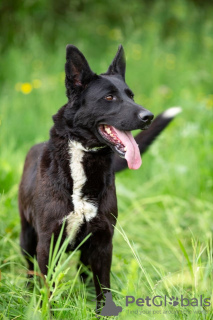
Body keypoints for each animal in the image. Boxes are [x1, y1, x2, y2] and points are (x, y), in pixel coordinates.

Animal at [19, 44, 181, 310]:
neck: (84, 160)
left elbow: (103, 287)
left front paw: (104, 312)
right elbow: (47, 290)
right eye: (109, 97)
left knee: (86, 275)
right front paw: (44, 311)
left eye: (131, 95)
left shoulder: (103, 241)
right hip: (26, 238)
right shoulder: (47, 242)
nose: (148, 116)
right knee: (30, 271)